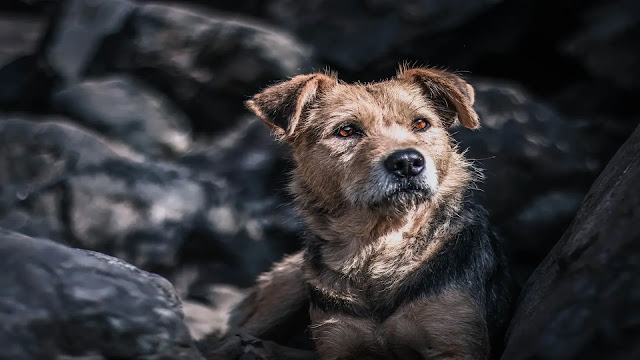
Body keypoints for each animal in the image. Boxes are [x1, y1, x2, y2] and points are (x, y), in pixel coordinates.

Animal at [222, 66, 516, 358]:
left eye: (421, 124)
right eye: (346, 130)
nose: (407, 162)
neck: (381, 242)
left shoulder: (455, 340)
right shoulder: (338, 344)